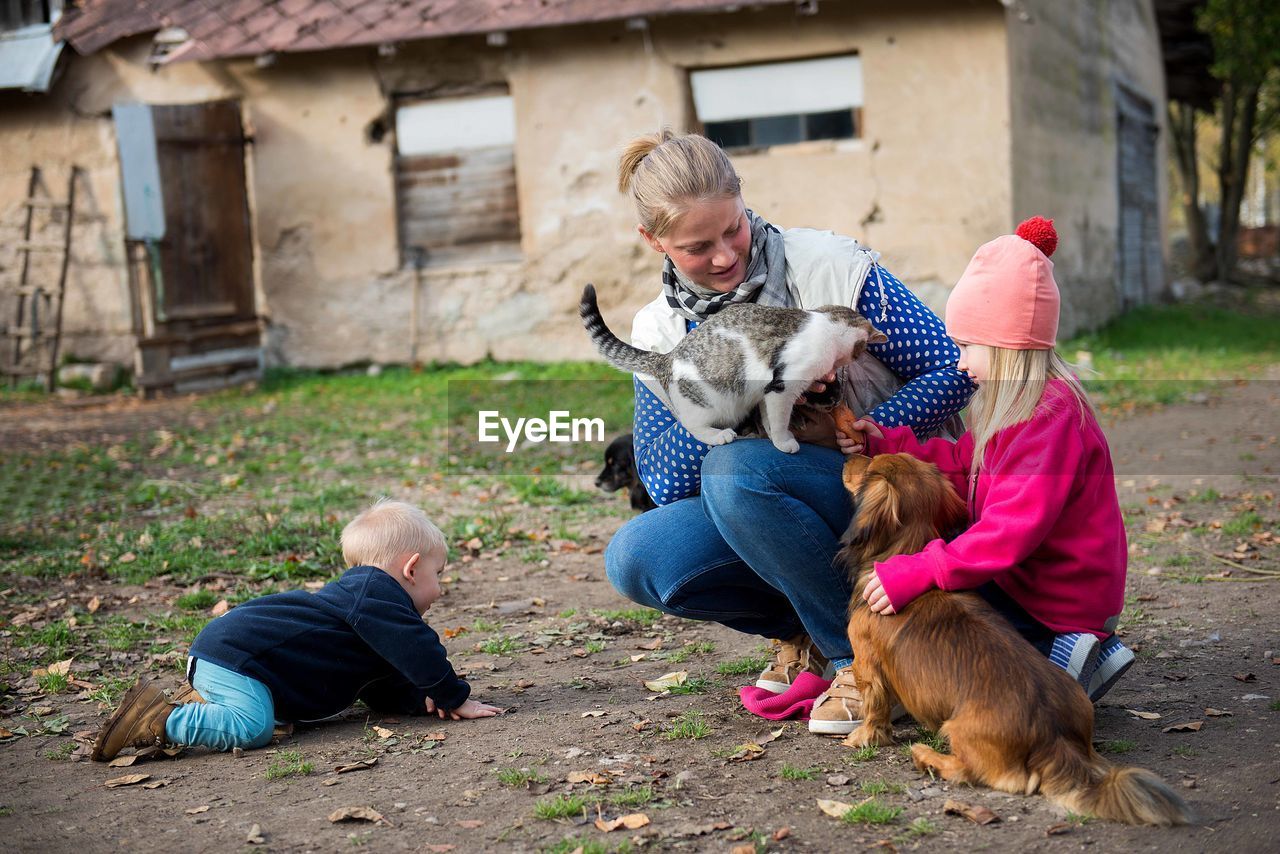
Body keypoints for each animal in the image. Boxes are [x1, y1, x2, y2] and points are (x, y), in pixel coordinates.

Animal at [583, 284, 890, 453]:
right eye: (828, 390)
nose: (837, 401)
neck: (827, 324)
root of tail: (667, 359)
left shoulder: (767, 391)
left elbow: (768, 417)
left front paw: (775, 437)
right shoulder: (782, 387)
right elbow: (779, 419)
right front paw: (784, 442)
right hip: (710, 402)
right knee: (691, 424)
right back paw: (719, 435)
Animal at [839, 453, 1187, 829]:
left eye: (869, 466)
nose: (849, 454)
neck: (904, 549)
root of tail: (1055, 736)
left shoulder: (866, 664)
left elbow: (874, 707)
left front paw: (863, 737)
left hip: (957, 730)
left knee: (968, 772)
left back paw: (926, 756)